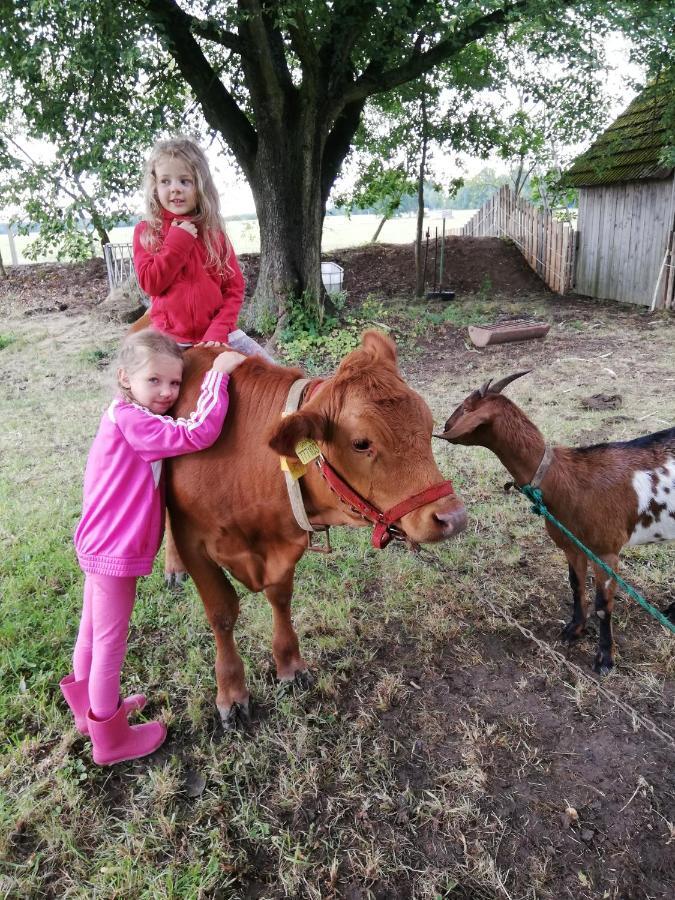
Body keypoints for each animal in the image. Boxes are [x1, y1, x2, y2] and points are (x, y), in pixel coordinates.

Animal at [166, 330, 468, 724]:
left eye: (429, 427)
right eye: (361, 443)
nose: (453, 517)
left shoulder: (286, 543)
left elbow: (280, 598)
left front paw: (290, 664)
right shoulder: (195, 543)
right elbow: (222, 614)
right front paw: (231, 692)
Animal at [438, 372, 675, 676]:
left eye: (467, 407)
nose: (445, 425)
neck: (564, 478)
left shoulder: (606, 551)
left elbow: (603, 605)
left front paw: (605, 660)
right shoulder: (571, 545)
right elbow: (575, 586)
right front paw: (574, 630)